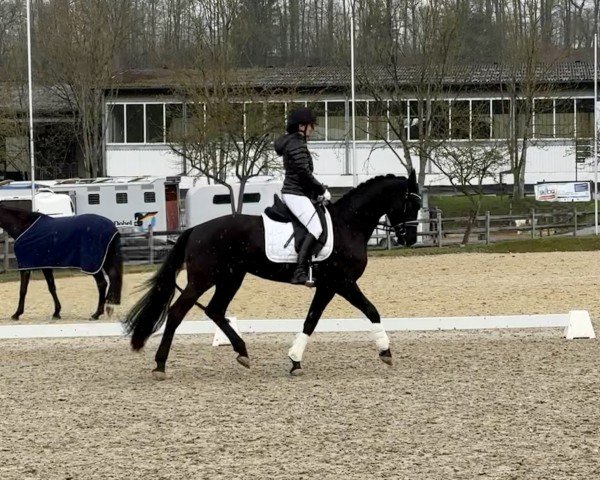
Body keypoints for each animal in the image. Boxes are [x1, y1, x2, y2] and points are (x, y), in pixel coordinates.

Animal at [122, 172, 422, 378]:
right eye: (410, 204)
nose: (408, 238)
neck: (348, 224)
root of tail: (195, 229)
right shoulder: (343, 282)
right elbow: (371, 310)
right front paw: (386, 352)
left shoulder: (327, 286)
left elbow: (311, 320)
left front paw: (295, 361)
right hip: (203, 279)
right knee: (176, 313)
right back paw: (160, 365)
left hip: (231, 278)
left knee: (216, 310)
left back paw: (242, 353)